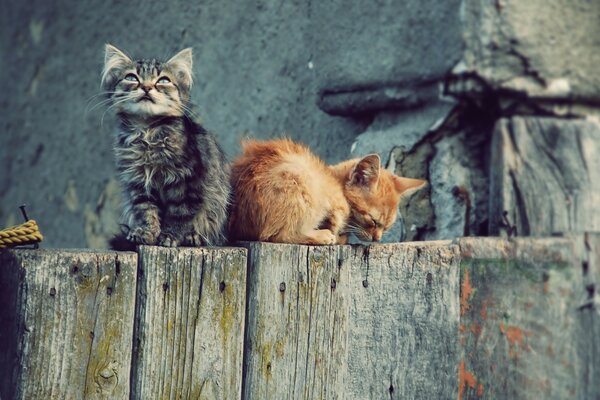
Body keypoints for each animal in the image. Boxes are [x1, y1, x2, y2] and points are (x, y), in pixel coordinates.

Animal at [101, 46, 230, 247]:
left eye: (163, 81)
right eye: (131, 77)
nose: (146, 86)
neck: (147, 132)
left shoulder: (188, 182)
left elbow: (179, 214)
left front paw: (170, 236)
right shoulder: (139, 184)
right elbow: (147, 212)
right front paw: (146, 233)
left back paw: (193, 237)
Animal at [227, 138, 424, 244]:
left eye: (387, 227)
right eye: (373, 221)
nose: (377, 239)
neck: (334, 179)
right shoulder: (337, 204)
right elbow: (337, 223)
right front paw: (337, 235)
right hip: (303, 181)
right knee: (276, 234)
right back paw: (322, 236)